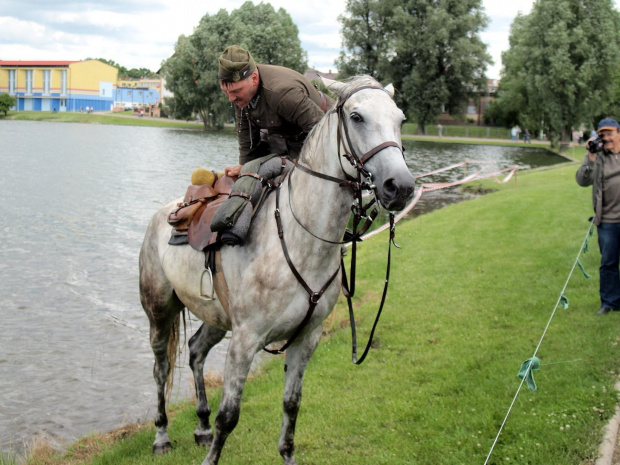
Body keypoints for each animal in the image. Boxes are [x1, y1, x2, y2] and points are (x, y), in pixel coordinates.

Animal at [138, 74, 414, 462]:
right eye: (357, 117)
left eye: (400, 120)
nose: (400, 186)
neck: (301, 241)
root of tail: (163, 214)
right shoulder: (245, 340)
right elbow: (229, 416)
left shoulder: (306, 339)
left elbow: (291, 404)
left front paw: (287, 455)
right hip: (159, 311)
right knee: (161, 367)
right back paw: (162, 434)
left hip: (216, 317)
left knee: (195, 352)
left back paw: (201, 426)